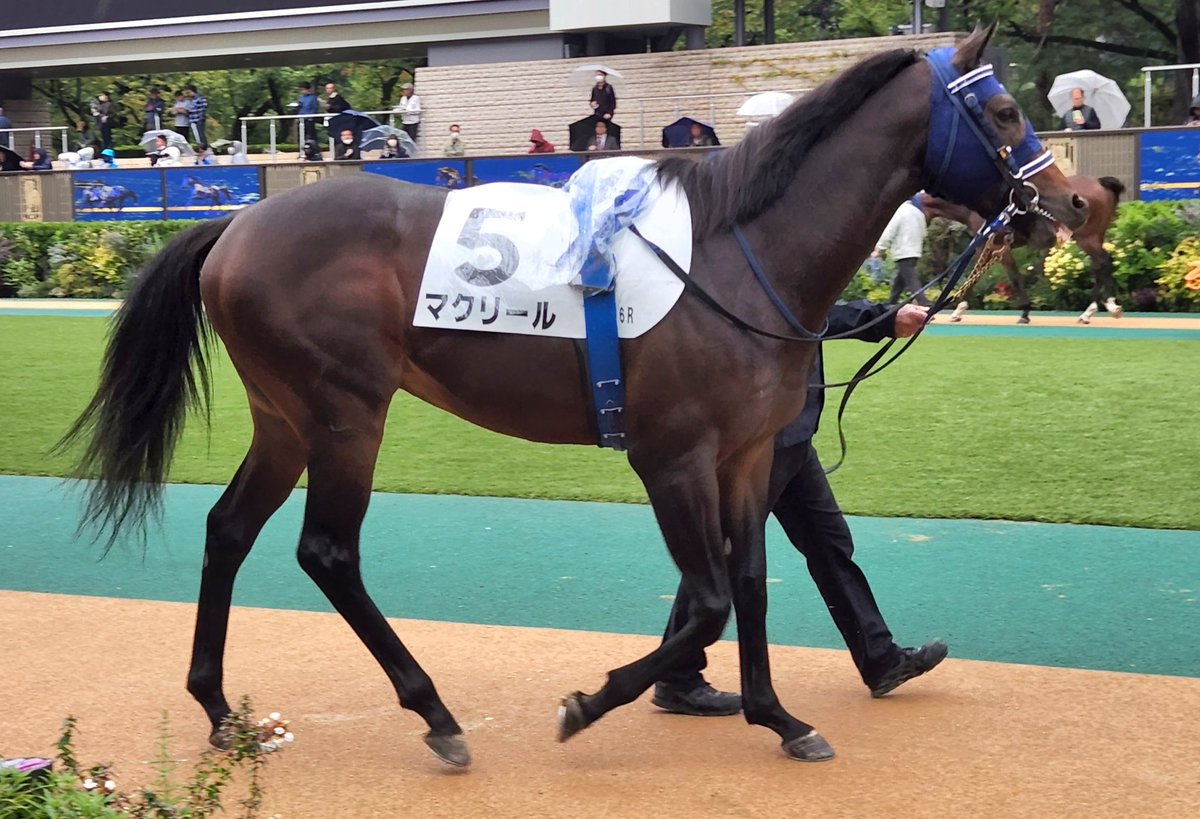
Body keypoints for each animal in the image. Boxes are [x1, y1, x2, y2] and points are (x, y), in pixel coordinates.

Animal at [61, 25, 1087, 767]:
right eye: (1001, 111)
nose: (1073, 204)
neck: (737, 252)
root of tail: (236, 225)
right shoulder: (671, 456)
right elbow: (707, 598)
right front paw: (590, 702)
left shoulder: (751, 455)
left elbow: (752, 582)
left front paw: (777, 715)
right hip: (345, 412)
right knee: (328, 552)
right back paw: (434, 712)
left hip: (285, 418)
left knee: (229, 529)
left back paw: (219, 709)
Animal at [923, 175, 1124, 323]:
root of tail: (1099, 182)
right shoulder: (984, 247)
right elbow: (974, 276)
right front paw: (959, 310)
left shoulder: (998, 247)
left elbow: (1013, 276)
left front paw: (1025, 312)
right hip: (1095, 236)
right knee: (1103, 264)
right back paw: (1105, 306)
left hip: (1086, 237)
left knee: (1102, 263)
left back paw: (1093, 310)